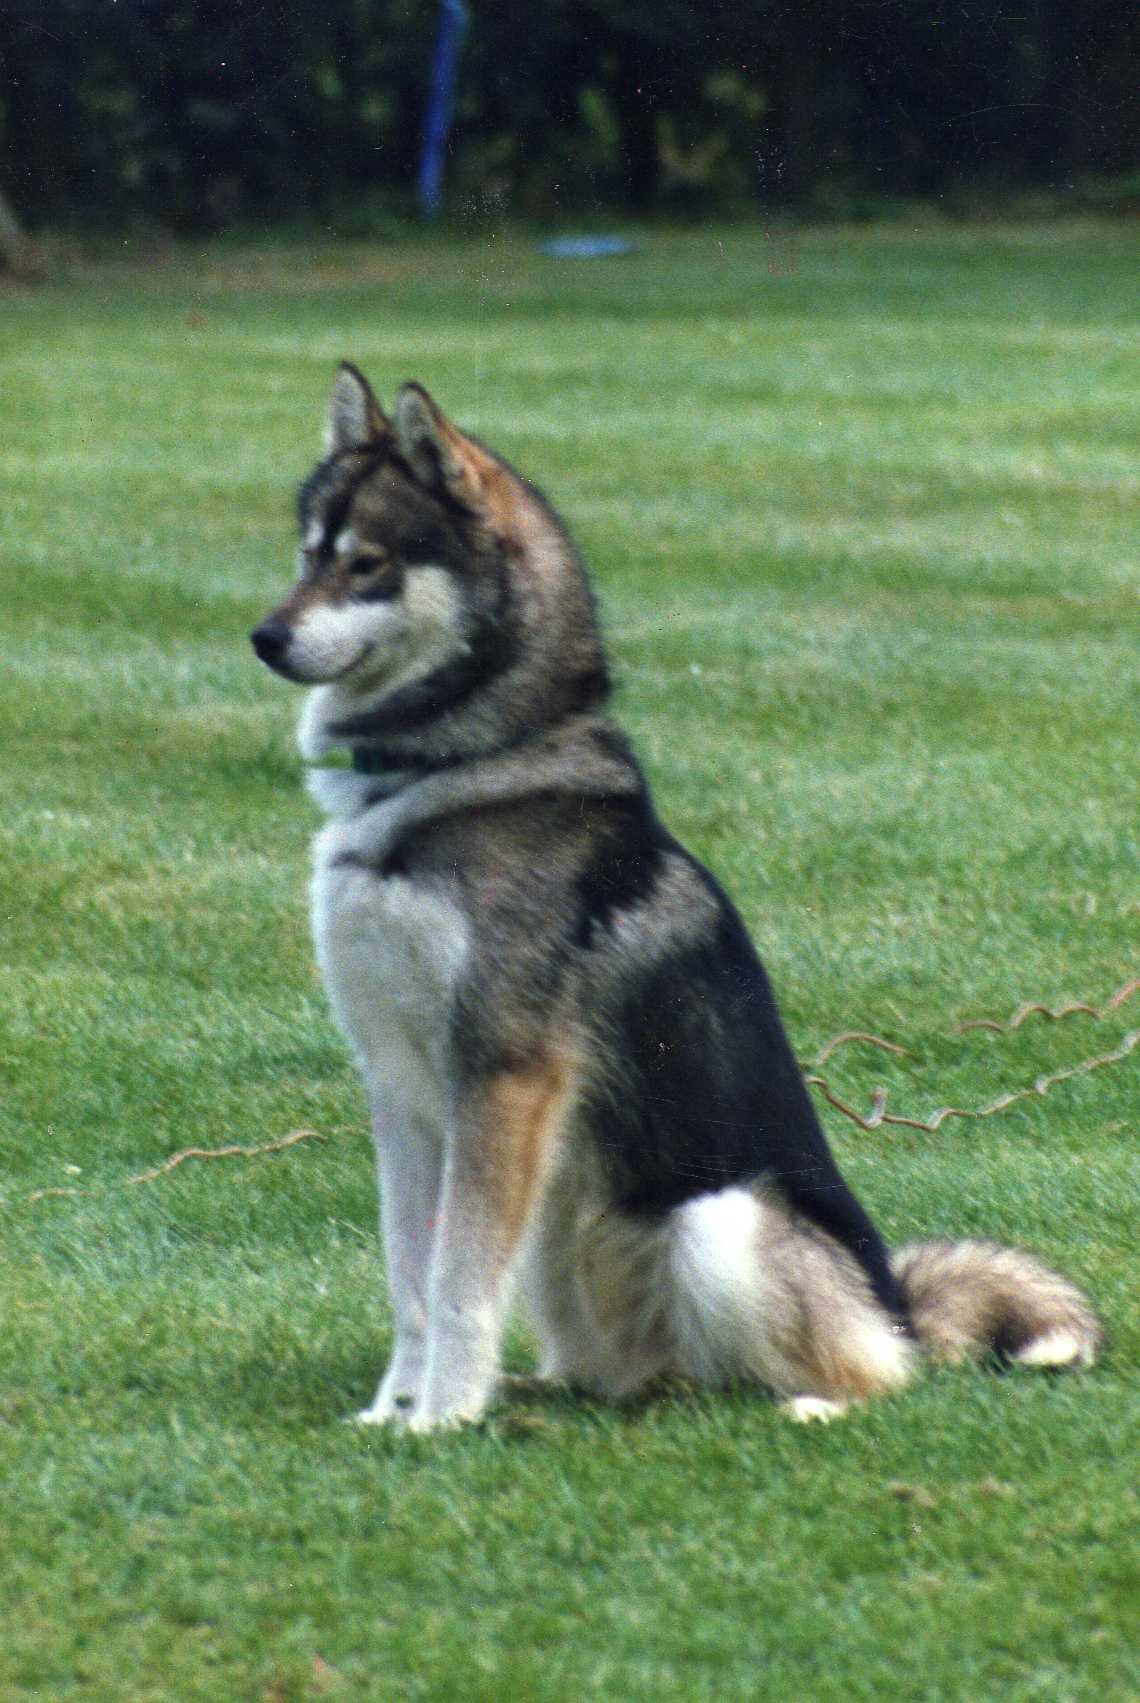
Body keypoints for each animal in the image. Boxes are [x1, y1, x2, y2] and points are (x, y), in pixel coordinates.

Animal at [250, 366, 1090, 1430]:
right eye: (307, 555)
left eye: (367, 565)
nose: (264, 636)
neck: (455, 772)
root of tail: (896, 1303)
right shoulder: (401, 1087)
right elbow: (413, 1279)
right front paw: (392, 1413)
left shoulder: (503, 1078)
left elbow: (457, 1280)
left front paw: (438, 1421)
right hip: (560, 1223)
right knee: (626, 1371)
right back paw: (549, 1388)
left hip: (717, 1222)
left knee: (875, 1373)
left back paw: (810, 1405)